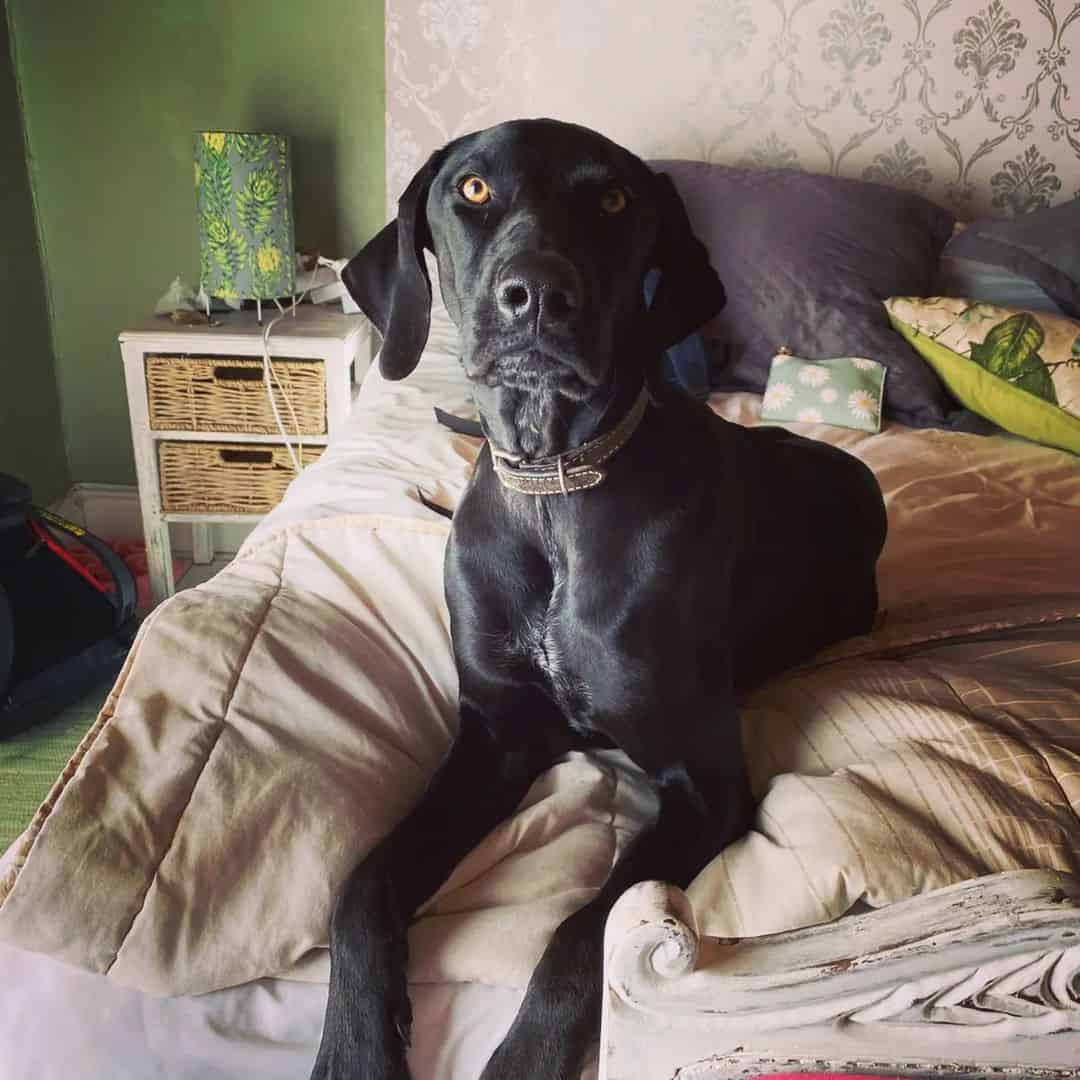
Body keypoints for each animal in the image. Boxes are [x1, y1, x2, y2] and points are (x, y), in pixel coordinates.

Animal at [313, 118, 885, 1080]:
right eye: (472, 190)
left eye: (615, 200)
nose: (538, 295)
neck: (555, 484)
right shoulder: (497, 735)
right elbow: (362, 884)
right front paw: (356, 1045)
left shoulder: (704, 781)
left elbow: (591, 932)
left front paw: (524, 1059)